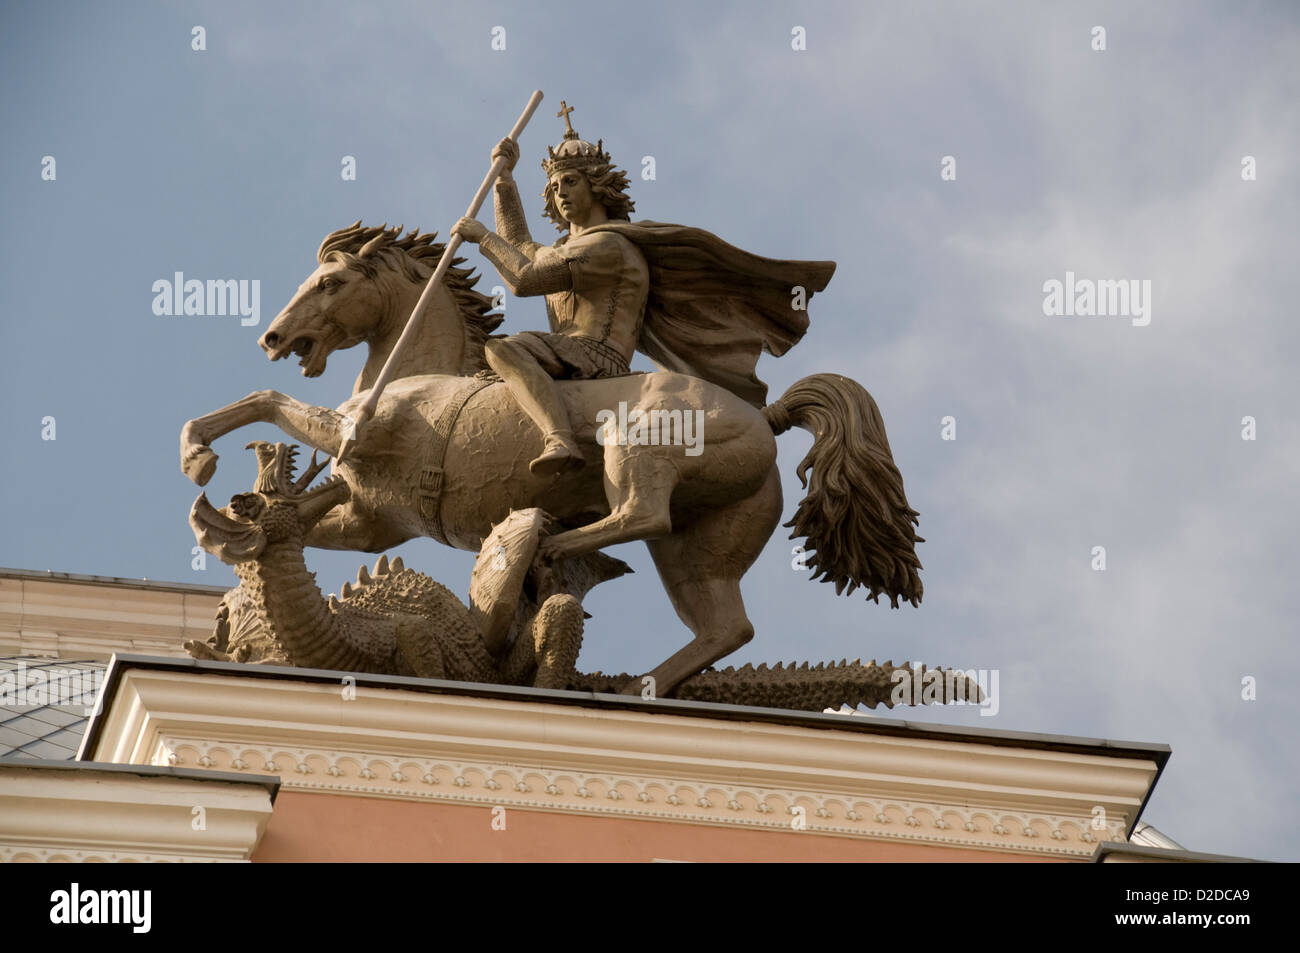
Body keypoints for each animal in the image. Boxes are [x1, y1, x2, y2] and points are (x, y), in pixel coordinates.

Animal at [183, 221, 925, 691]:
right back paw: (626, 684)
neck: (419, 373)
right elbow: (312, 515)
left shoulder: (355, 436)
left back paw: (544, 546)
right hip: (700, 546)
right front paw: (236, 526)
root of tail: (764, 417)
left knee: (641, 514)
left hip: (636, 449)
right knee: (725, 625)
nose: (274, 337)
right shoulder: (375, 523)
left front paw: (199, 455)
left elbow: (267, 400)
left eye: (329, 281)